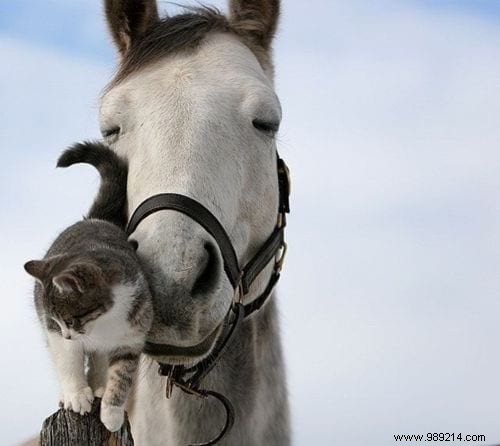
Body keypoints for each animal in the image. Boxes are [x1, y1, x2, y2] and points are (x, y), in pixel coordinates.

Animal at [23, 142, 152, 432]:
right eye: (60, 321)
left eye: (73, 319)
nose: (69, 334)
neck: (103, 322)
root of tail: (93, 220)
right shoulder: (54, 331)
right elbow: (68, 360)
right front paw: (76, 395)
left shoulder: (132, 333)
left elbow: (121, 375)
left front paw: (112, 412)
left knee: (99, 360)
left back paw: (99, 386)